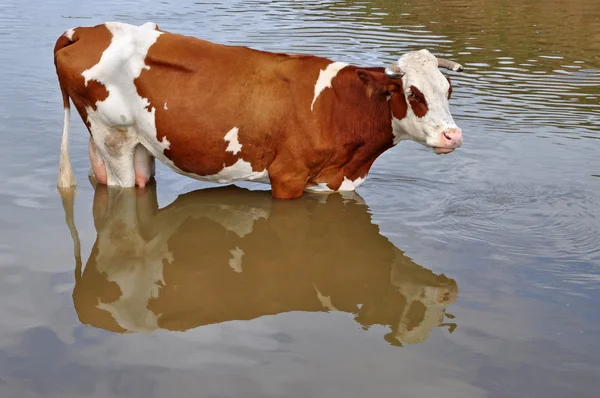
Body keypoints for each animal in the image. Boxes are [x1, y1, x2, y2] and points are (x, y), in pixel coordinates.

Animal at [54, 21, 464, 199]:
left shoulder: (328, 181)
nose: (453, 135)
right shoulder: (287, 176)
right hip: (114, 138)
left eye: (448, 89)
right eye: (414, 94)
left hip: (135, 146)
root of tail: (85, 30)